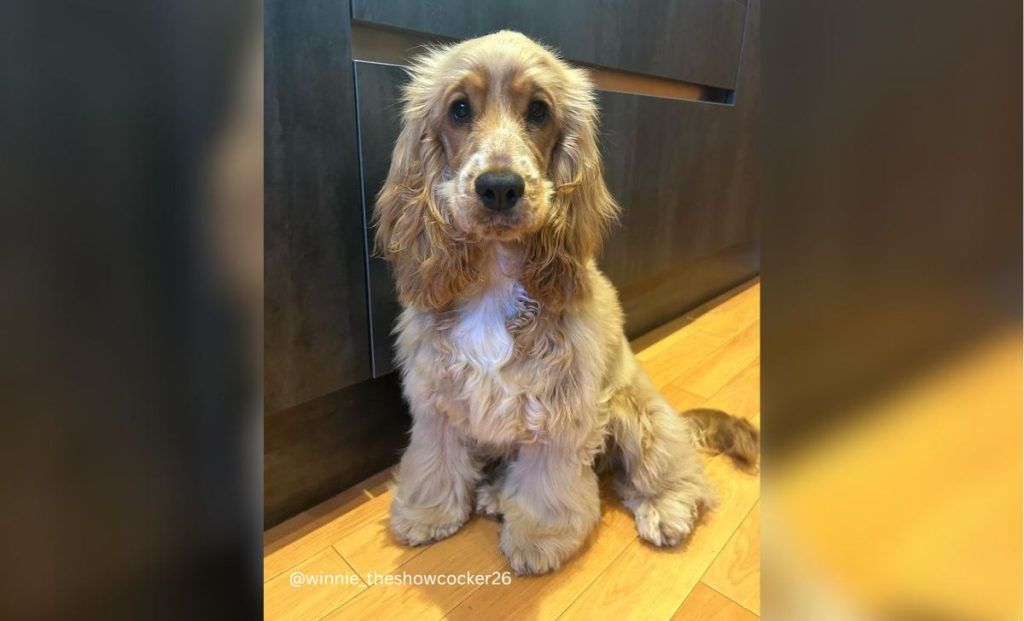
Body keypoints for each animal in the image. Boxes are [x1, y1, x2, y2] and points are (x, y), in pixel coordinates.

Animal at [376, 31, 761, 577]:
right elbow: (435, 456)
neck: (495, 277)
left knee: (672, 469)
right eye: (459, 110)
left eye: (539, 111)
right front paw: (426, 513)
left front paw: (539, 538)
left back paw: (665, 508)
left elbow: (547, 480)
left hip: (634, 412)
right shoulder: (437, 393)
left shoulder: (561, 405)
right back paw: (494, 494)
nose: (499, 187)